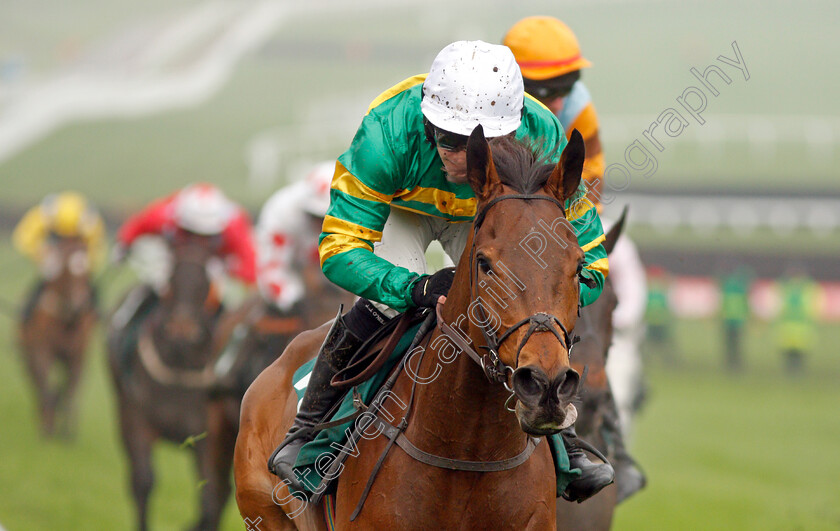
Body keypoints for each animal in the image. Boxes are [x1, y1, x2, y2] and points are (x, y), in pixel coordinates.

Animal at [17, 235, 97, 438]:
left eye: (87, 273)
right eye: (67, 273)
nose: (79, 305)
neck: (65, 320)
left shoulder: (77, 355)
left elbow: (71, 389)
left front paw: (68, 432)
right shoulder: (41, 350)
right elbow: (45, 384)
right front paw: (47, 426)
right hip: (28, 354)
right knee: (37, 384)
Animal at [110, 235, 230, 531]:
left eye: (204, 282)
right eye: (172, 277)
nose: (182, 328)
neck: (179, 365)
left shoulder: (205, 437)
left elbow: (209, 498)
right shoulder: (137, 420)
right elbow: (143, 481)